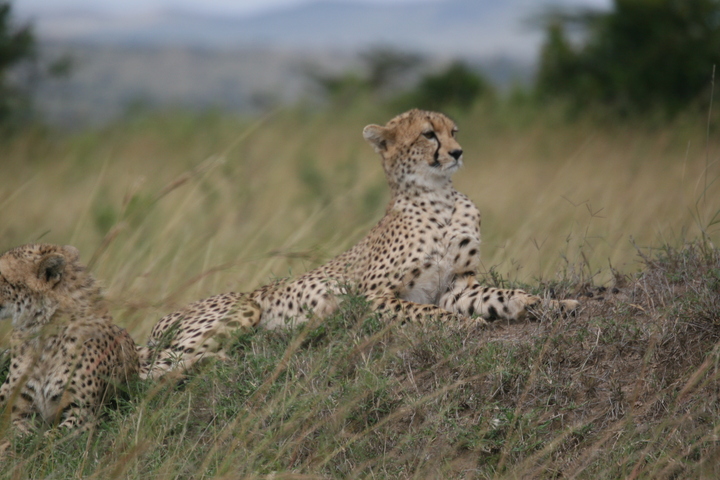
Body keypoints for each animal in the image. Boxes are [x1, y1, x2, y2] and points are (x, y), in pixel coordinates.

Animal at [145, 109, 579, 377]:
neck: (439, 197)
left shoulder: (458, 287)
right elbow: (428, 313)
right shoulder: (370, 298)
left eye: (453, 132)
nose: (457, 152)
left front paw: (550, 303)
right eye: (429, 134)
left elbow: (502, 295)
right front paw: (462, 324)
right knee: (151, 374)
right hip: (241, 310)